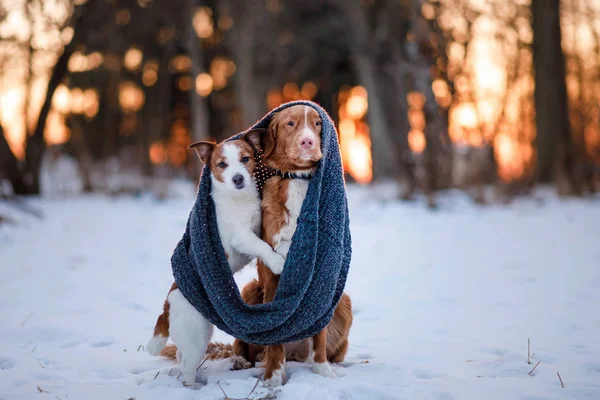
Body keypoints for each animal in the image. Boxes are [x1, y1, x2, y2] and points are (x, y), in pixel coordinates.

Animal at [146, 132, 284, 388]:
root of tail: (168, 306)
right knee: (187, 367)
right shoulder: (242, 237)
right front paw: (277, 261)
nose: (238, 178)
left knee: (181, 357)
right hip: (197, 335)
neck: (238, 200)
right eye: (222, 165)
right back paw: (195, 386)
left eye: (245, 159)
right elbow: (262, 245)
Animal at [230, 104, 352, 386]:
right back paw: (245, 362)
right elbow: (275, 332)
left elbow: (319, 332)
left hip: (343, 301)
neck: (297, 177)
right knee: (245, 347)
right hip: (251, 291)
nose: (308, 142)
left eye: (318, 123)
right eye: (290, 123)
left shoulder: (322, 279)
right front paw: (274, 376)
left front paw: (323, 371)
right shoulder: (273, 272)